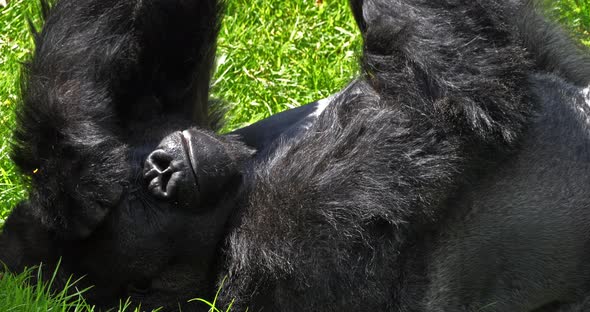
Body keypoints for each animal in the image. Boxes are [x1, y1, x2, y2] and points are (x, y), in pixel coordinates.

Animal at [2, 0, 590, 310]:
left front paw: (74, 151)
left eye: (142, 173)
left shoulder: (170, 118)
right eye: (146, 194)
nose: (163, 165)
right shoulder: (289, 234)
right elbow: (457, 95)